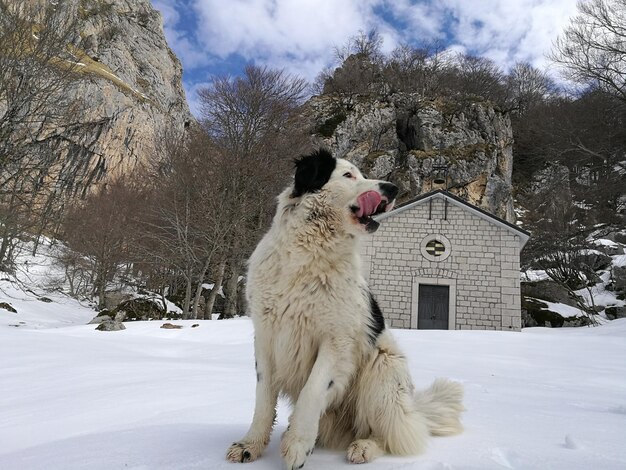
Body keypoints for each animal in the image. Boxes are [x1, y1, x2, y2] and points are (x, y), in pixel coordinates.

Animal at [227, 150, 460, 466]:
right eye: (348, 175)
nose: (392, 188)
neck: (309, 254)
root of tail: (413, 407)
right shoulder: (266, 335)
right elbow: (263, 398)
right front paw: (250, 444)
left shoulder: (337, 340)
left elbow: (313, 389)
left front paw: (298, 444)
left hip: (383, 368)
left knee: (388, 433)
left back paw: (363, 447)